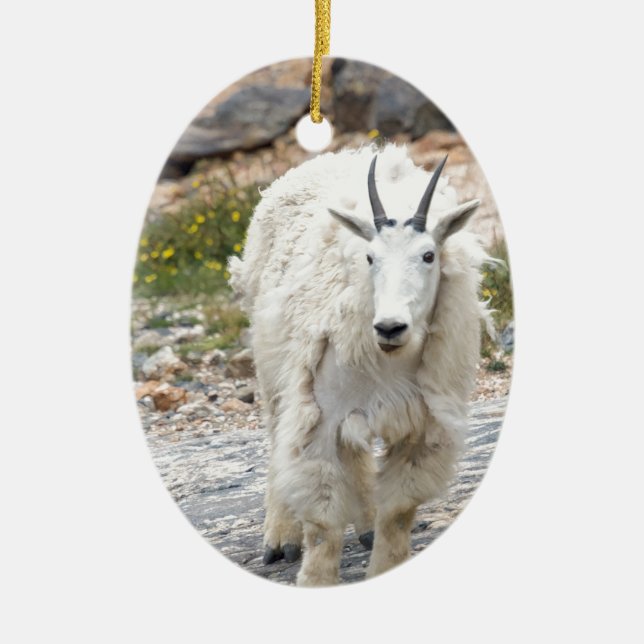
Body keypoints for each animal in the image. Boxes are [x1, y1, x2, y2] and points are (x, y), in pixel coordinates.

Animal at [228, 144, 491, 585]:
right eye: (370, 257)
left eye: (429, 255)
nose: (389, 327)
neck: (390, 360)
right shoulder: (320, 411)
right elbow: (322, 524)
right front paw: (315, 580)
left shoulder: (422, 420)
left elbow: (399, 511)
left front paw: (384, 565)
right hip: (272, 364)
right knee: (277, 431)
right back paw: (280, 539)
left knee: (356, 455)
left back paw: (366, 527)